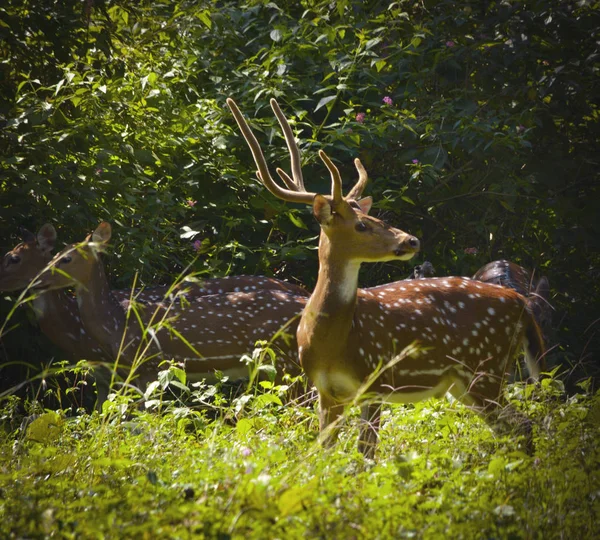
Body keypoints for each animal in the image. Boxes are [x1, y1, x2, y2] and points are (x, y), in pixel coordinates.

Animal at [227, 97, 548, 456]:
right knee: (511, 428)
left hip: (486, 367)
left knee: (523, 424)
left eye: (373, 217)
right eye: (361, 225)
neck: (331, 340)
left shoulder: (376, 378)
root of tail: (521, 302)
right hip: (464, 381)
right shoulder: (326, 391)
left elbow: (365, 455)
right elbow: (324, 452)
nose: (411, 240)